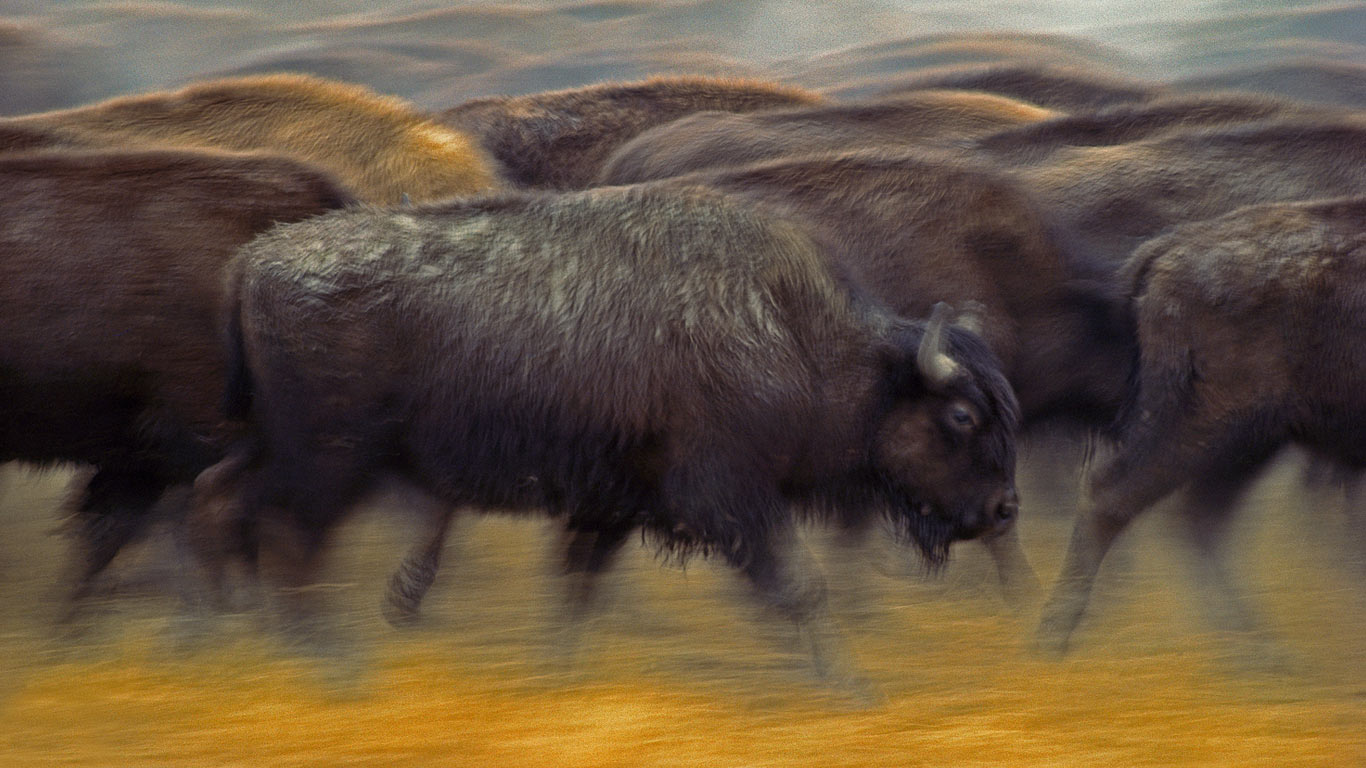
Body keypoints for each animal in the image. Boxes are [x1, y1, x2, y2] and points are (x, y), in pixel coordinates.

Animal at [194, 183, 1021, 678]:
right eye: (961, 416)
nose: (1005, 509)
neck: (793, 331)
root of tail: (251, 261)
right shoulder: (731, 498)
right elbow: (799, 586)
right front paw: (851, 690)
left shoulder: (616, 504)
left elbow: (577, 588)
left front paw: (554, 674)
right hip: (329, 461)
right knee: (286, 535)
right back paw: (329, 661)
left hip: (276, 446)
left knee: (221, 499)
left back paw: (236, 640)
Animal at [1035, 197, 1366, 655]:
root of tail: (1172, 247)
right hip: (1213, 427)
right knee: (1113, 496)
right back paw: (1051, 643)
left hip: (1249, 443)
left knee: (1196, 519)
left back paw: (1256, 651)